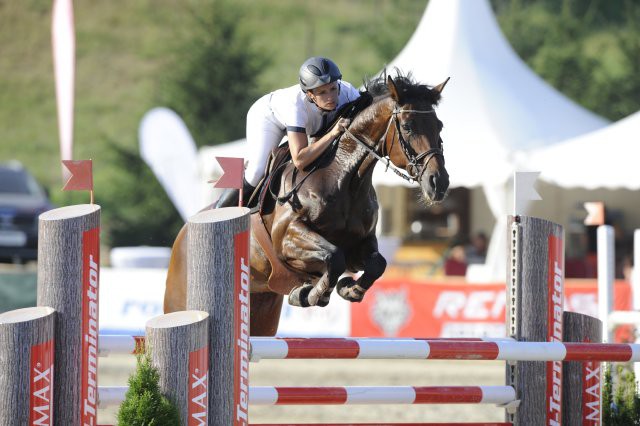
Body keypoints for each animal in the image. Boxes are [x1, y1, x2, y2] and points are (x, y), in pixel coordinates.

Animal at [164, 71, 450, 336]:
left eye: (439, 126)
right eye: (408, 126)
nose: (439, 183)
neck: (345, 180)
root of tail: (183, 232)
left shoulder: (361, 243)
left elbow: (377, 264)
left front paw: (349, 289)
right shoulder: (288, 239)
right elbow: (333, 257)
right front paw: (311, 294)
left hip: (261, 308)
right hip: (181, 299)